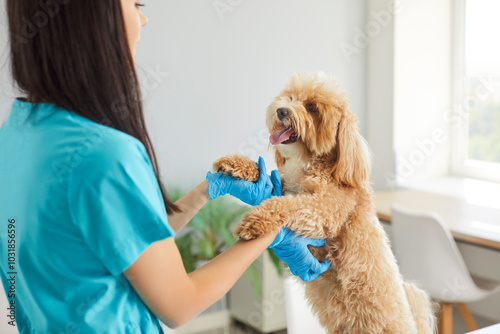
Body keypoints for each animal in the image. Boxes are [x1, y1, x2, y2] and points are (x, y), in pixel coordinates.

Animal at [215, 72, 438, 332]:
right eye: (290, 97)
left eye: (312, 107)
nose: (281, 110)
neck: (315, 162)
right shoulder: (286, 183)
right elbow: (269, 178)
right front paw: (236, 163)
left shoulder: (324, 209)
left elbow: (288, 205)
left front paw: (255, 220)